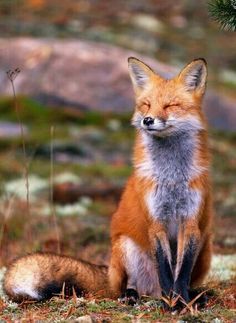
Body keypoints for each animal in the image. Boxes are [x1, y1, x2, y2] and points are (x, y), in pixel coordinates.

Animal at [2, 57, 212, 308]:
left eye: (170, 105)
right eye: (146, 105)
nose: (147, 120)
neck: (171, 178)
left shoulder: (190, 221)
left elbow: (181, 273)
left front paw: (181, 302)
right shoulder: (155, 221)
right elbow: (165, 270)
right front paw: (171, 303)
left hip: (205, 248)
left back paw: (196, 296)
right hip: (124, 247)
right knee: (129, 286)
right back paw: (134, 295)